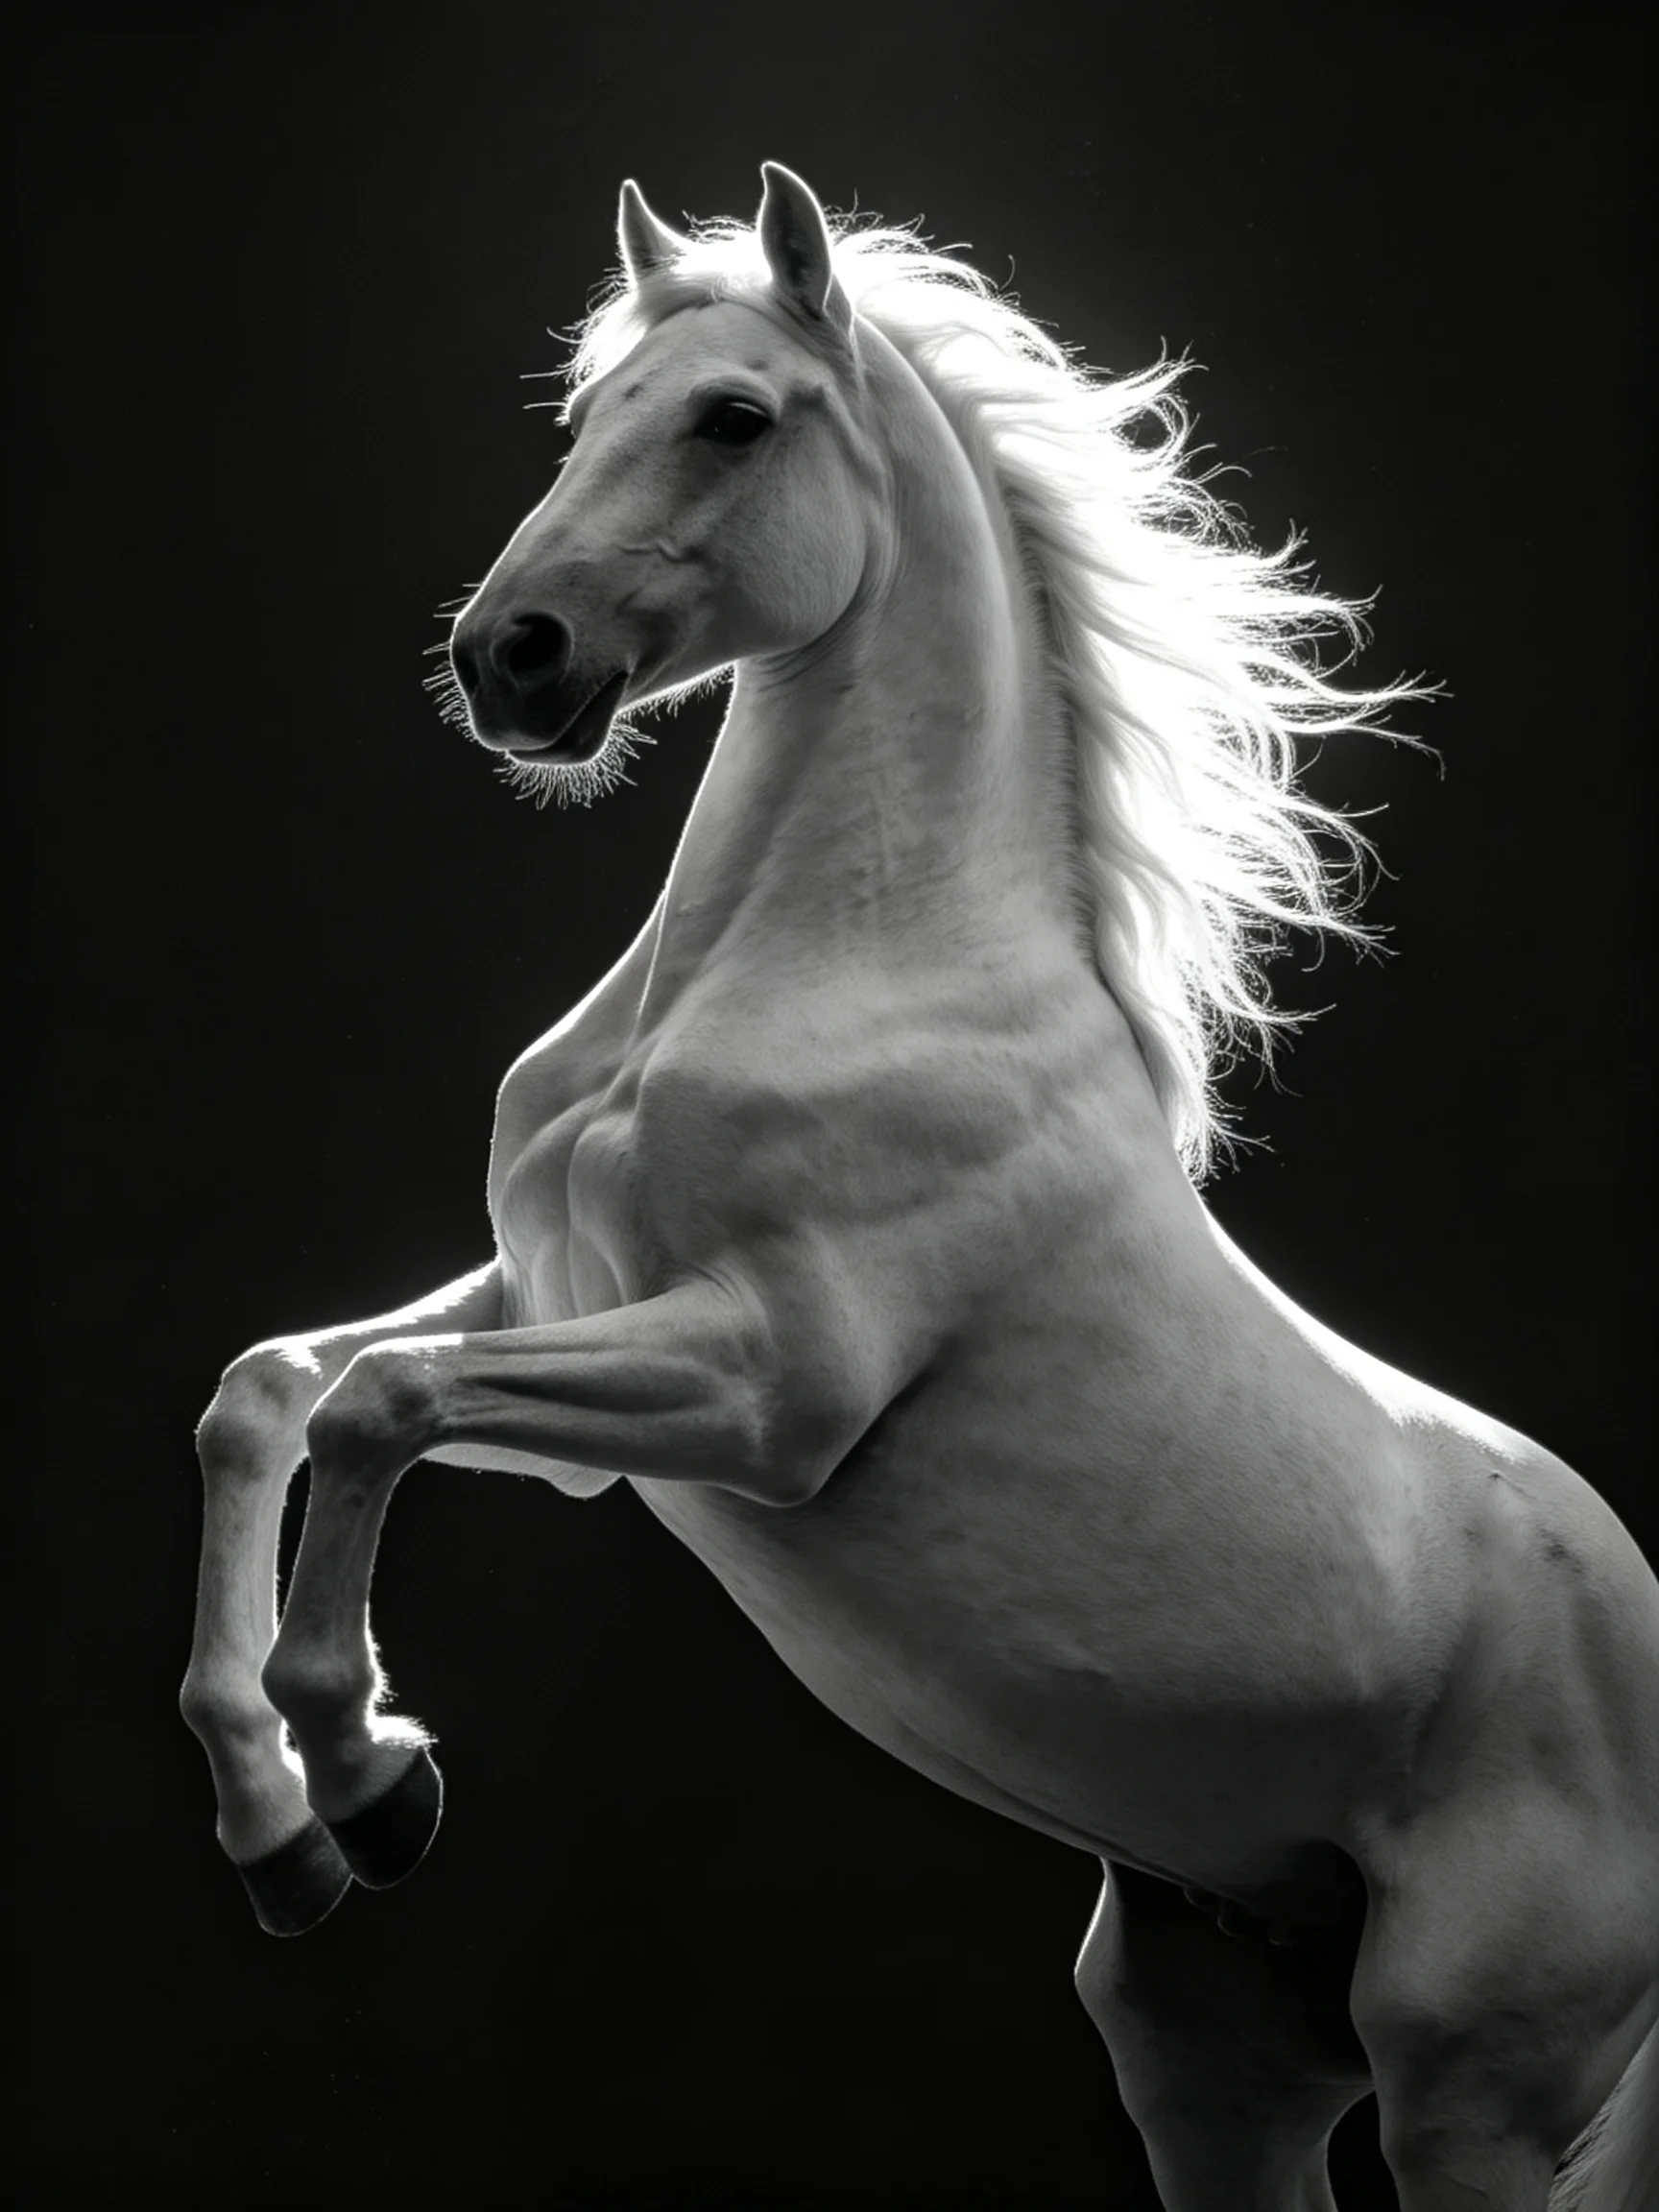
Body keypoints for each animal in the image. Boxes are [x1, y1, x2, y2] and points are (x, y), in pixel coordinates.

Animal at [180, 164, 1659, 2211]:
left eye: (733, 415)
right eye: (587, 416)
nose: (508, 658)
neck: (851, 964)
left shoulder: (765, 1388)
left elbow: (379, 1402)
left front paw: (372, 1775)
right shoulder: (561, 1319)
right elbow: (270, 1393)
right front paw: (280, 1824)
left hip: (1477, 2084)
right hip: (1211, 2049)